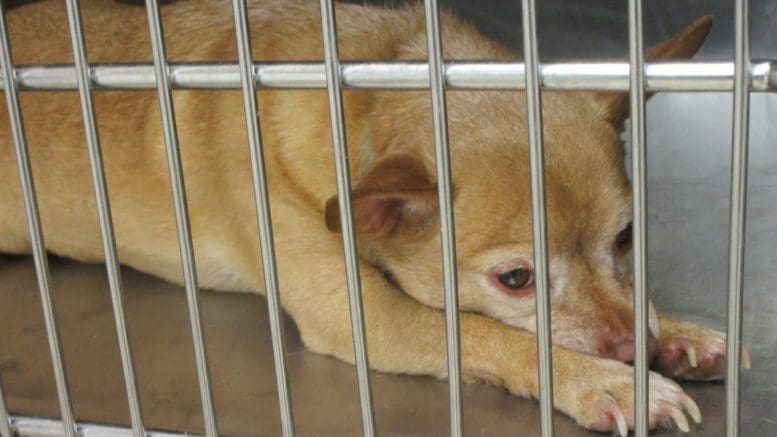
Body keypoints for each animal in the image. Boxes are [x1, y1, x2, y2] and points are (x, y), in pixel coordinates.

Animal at [0, 0, 740, 432]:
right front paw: (611, 382)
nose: (631, 348)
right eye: (515, 280)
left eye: (627, 236)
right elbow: (481, 331)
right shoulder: (364, 315)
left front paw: (675, 333)